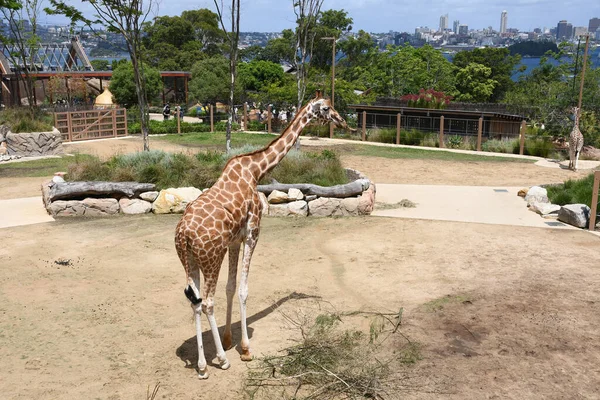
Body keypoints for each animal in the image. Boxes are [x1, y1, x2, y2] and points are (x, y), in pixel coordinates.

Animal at [173, 91, 350, 378]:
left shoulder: (234, 241)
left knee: (195, 302)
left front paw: (228, 340)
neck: (255, 171)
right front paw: (244, 349)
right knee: (207, 302)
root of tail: (184, 234)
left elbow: (231, 287)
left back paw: (202, 366)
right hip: (211, 257)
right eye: (326, 108)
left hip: (188, 259)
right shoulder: (253, 233)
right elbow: (244, 289)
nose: (342, 121)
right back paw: (222, 360)